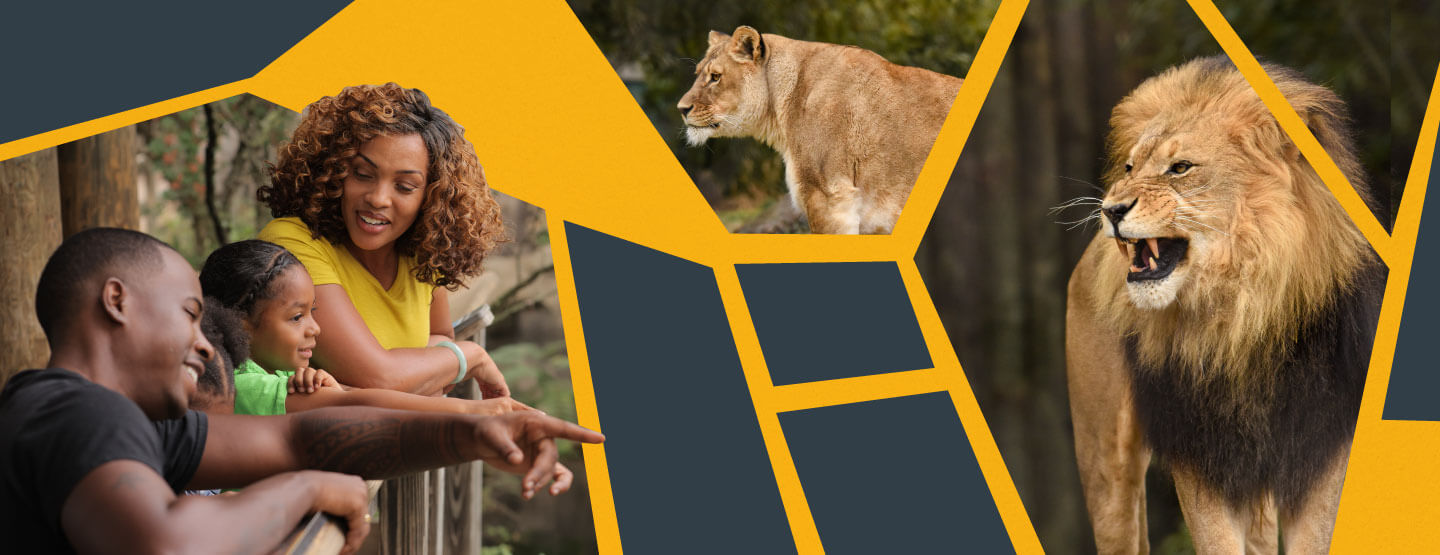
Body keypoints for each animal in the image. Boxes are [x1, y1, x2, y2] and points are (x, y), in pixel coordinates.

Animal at [1071, 57, 1382, 553]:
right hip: (1105, 457)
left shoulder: (1322, 452)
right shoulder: (1201, 454)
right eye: (1130, 166)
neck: (1242, 318)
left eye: (1180, 168)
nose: (1110, 209)